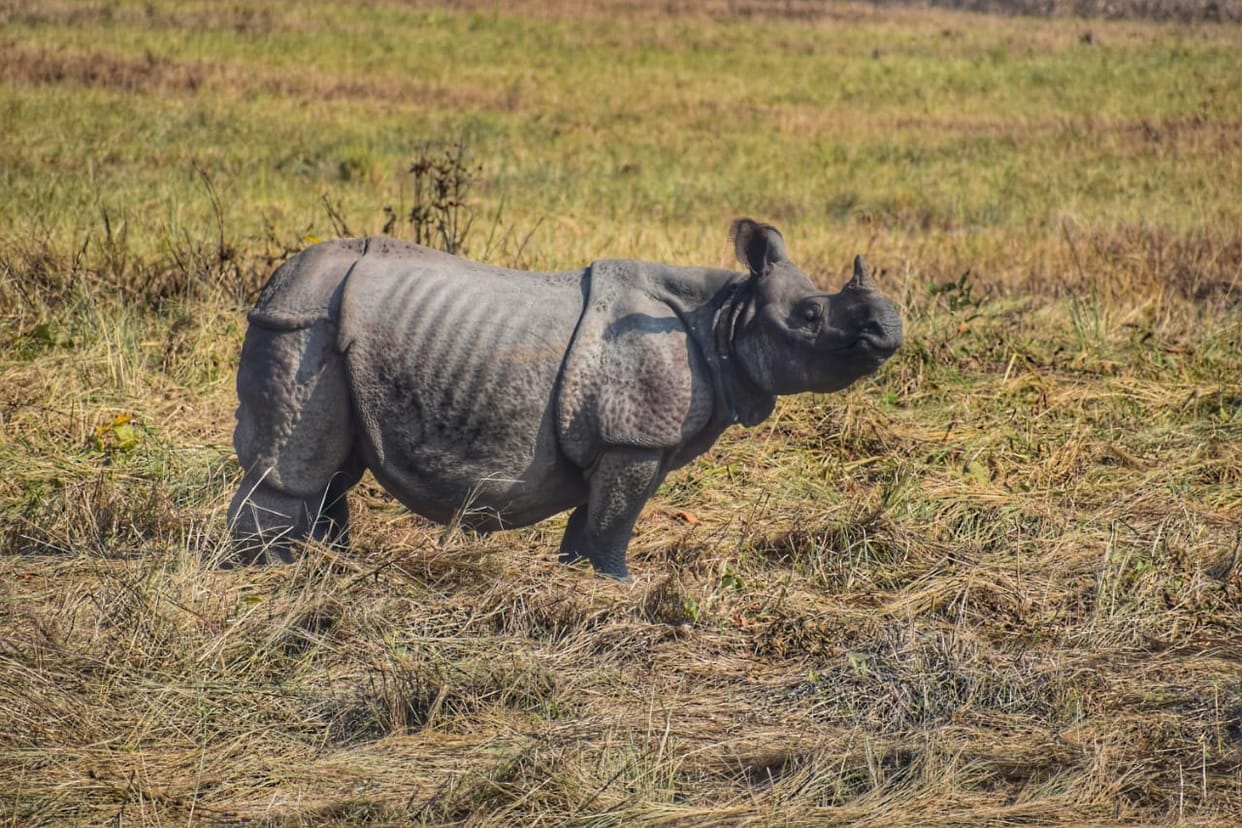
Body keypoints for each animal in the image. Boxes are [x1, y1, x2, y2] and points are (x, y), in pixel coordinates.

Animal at [227, 219, 903, 580]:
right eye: (810, 316)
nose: (889, 330)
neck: (726, 316)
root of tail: (276, 280)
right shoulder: (634, 437)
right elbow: (615, 516)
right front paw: (621, 585)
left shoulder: (631, 445)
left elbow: (600, 516)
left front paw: (584, 577)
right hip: (302, 321)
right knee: (292, 466)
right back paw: (269, 572)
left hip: (327, 323)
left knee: (334, 468)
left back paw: (326, 562)